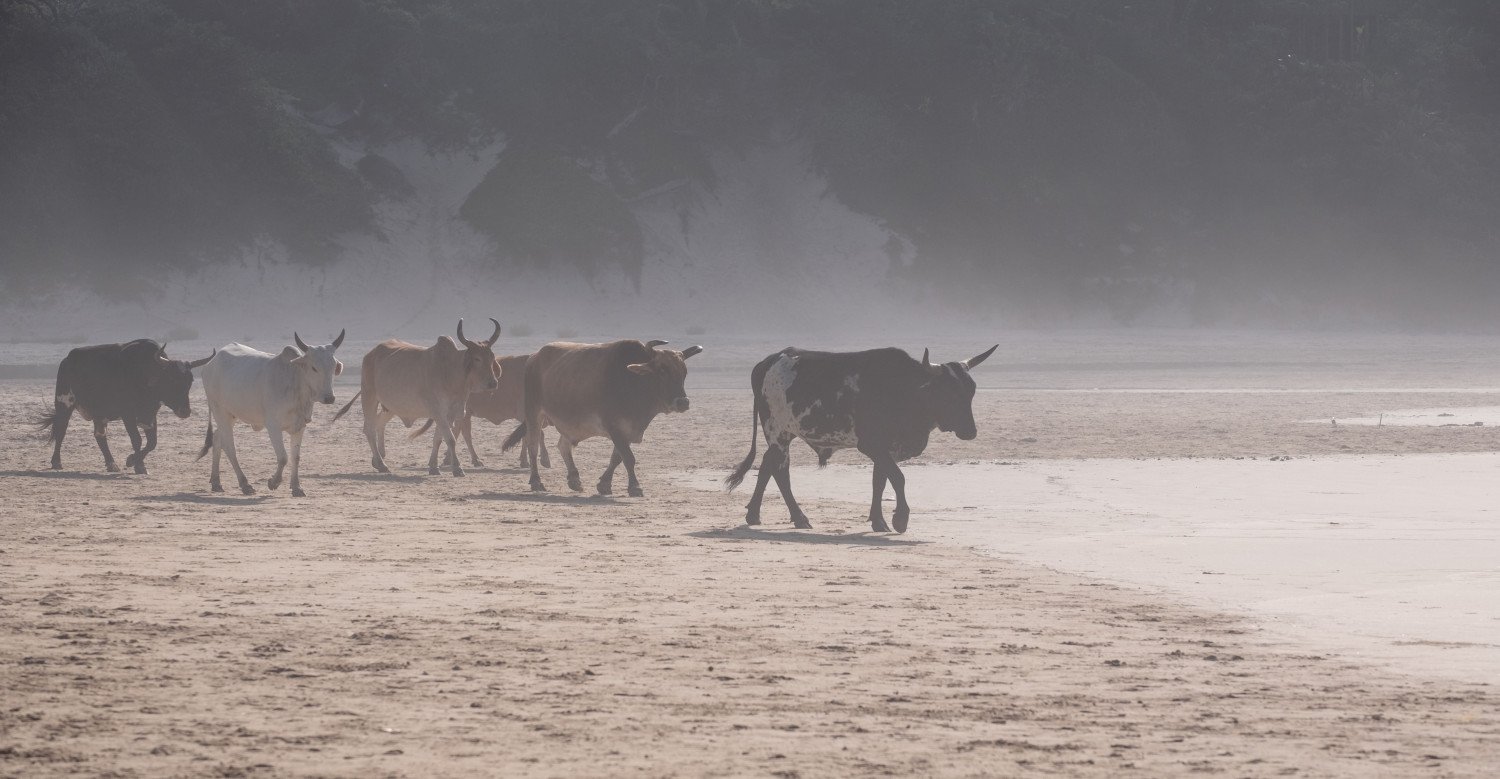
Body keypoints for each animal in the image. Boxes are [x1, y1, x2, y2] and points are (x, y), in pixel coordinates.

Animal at [37, 337, 214, 471]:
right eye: (171, 379)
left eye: (190, 381)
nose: (185, 411)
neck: (144, 372)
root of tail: (67, 359)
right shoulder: (128, 414)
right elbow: (137, 440)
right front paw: (137, 464)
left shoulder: (150, 414)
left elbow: (152, 442)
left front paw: (134, 461)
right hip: (64, 403)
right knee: (61, 430)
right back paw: (56, 461)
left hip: (99, 413)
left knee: (100, 435)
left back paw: (111, 463)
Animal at [198, 331, 346, 498]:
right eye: (314, 368)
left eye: (333, 367)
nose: (329, 398)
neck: (295, 381)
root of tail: (210, 364)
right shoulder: (273, 426)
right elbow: (283, 457)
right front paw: (273, 482)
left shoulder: (300, 426)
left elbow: (295, 457)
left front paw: (296, 487)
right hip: (220, 411)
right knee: (229, 447)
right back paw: (244, 484)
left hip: (231, 415)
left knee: (217, 438)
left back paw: (216, 482)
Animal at [331, 316, 501, 474]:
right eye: (477, 359)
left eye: (492, 357)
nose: (493, 383)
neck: (450, 372)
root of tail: (370, 354)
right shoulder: (438, 412)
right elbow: (450, 439)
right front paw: (457, 469)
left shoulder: (450, 414)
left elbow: (438, 439)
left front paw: (433, 467)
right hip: (369, 396)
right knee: (369, 429)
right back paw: (381, 464)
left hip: (391, 406)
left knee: (379, 423)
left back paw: (377, 460)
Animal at [498, 337, 696, 498]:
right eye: (662, 370)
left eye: (684, 372)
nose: (683, 402)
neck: (632, 381)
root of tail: (534, 357)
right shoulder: (615, 427)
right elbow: (628, 458)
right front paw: (635, 487)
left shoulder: (627, 431)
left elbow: (617, 458)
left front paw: (604, 485)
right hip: (534, 413)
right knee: (532, 445)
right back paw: (536, 481)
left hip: (568, 424)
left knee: (563, 446)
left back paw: (574, 479)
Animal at [726, 345, 996, 534]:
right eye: (949, 392)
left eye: (971, 390)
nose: (970, 431)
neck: (905, 388)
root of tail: (770, 360)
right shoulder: (872, 445)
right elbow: (898, 478)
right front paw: (900, 518)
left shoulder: (886, 450)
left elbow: (880, 481)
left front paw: (878, 520)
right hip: (778, 432)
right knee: (781, 472)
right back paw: (800, 517)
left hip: (781, 435)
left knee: (767, 465)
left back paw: (754, 514)